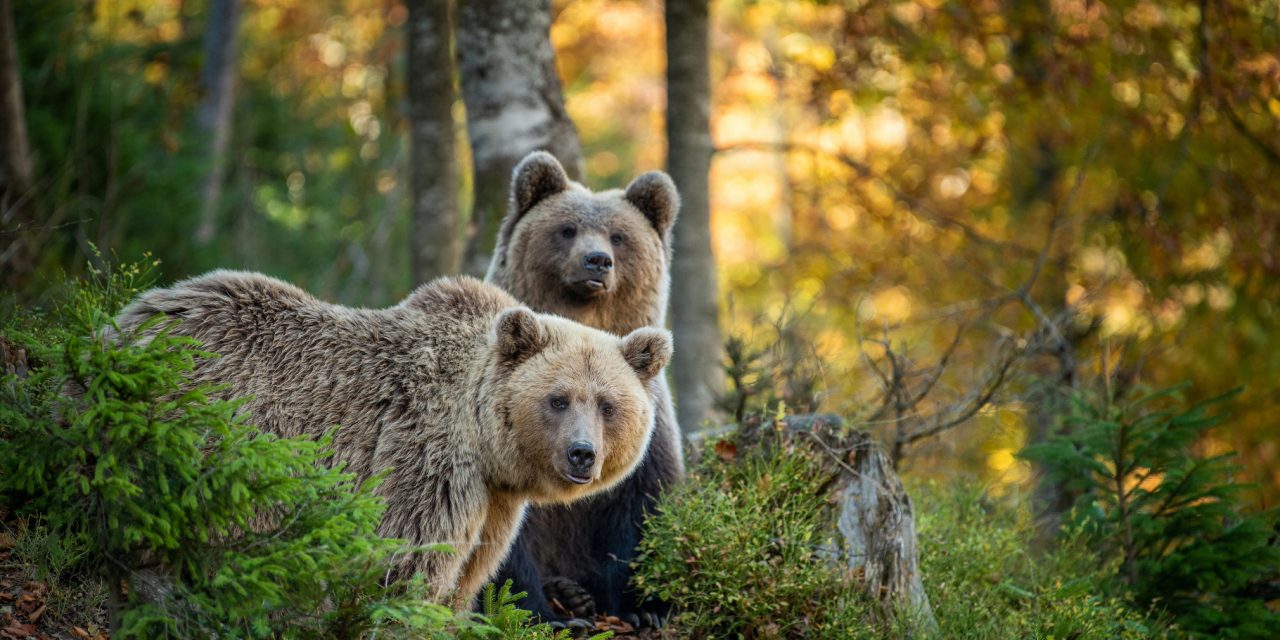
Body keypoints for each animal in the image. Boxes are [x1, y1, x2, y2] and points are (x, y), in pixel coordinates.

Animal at [112, 270, 673, 608]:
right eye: (558, 399)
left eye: (607, 404)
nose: (582, 454)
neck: (486, 443)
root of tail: (127, 322)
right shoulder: (427, 458)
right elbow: (409, 560)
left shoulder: (494, 503)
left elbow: (469, 574)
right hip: (204, 431)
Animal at [484, 151, 683, 628]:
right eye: (567, 229)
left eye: (619, 236)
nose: (597, 261)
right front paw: (540, 613)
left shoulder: (649, 427)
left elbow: (642, 507)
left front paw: (645, 608)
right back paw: (567, 597)